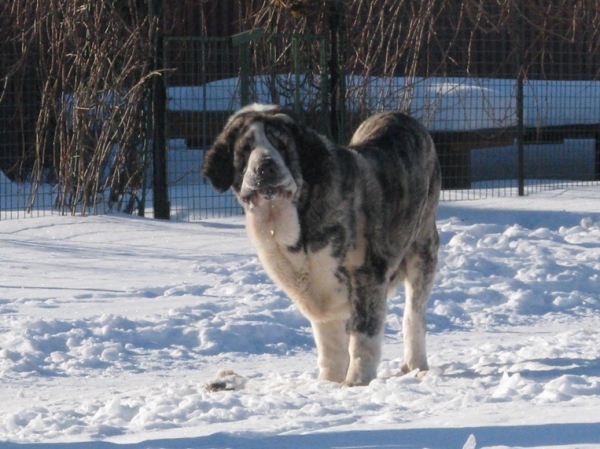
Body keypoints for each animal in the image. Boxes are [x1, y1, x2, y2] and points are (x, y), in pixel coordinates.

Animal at [202, 104, 440, 384]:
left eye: (281, 145)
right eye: (247, 149)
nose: (265, 165)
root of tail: (401, 116)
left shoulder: (367, 275)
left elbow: (363, 337)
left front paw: (357, 382)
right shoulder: (319, 291)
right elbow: (330, 343)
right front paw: (329, 383)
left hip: (423, 249)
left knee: (414, 314)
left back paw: (416, 365)